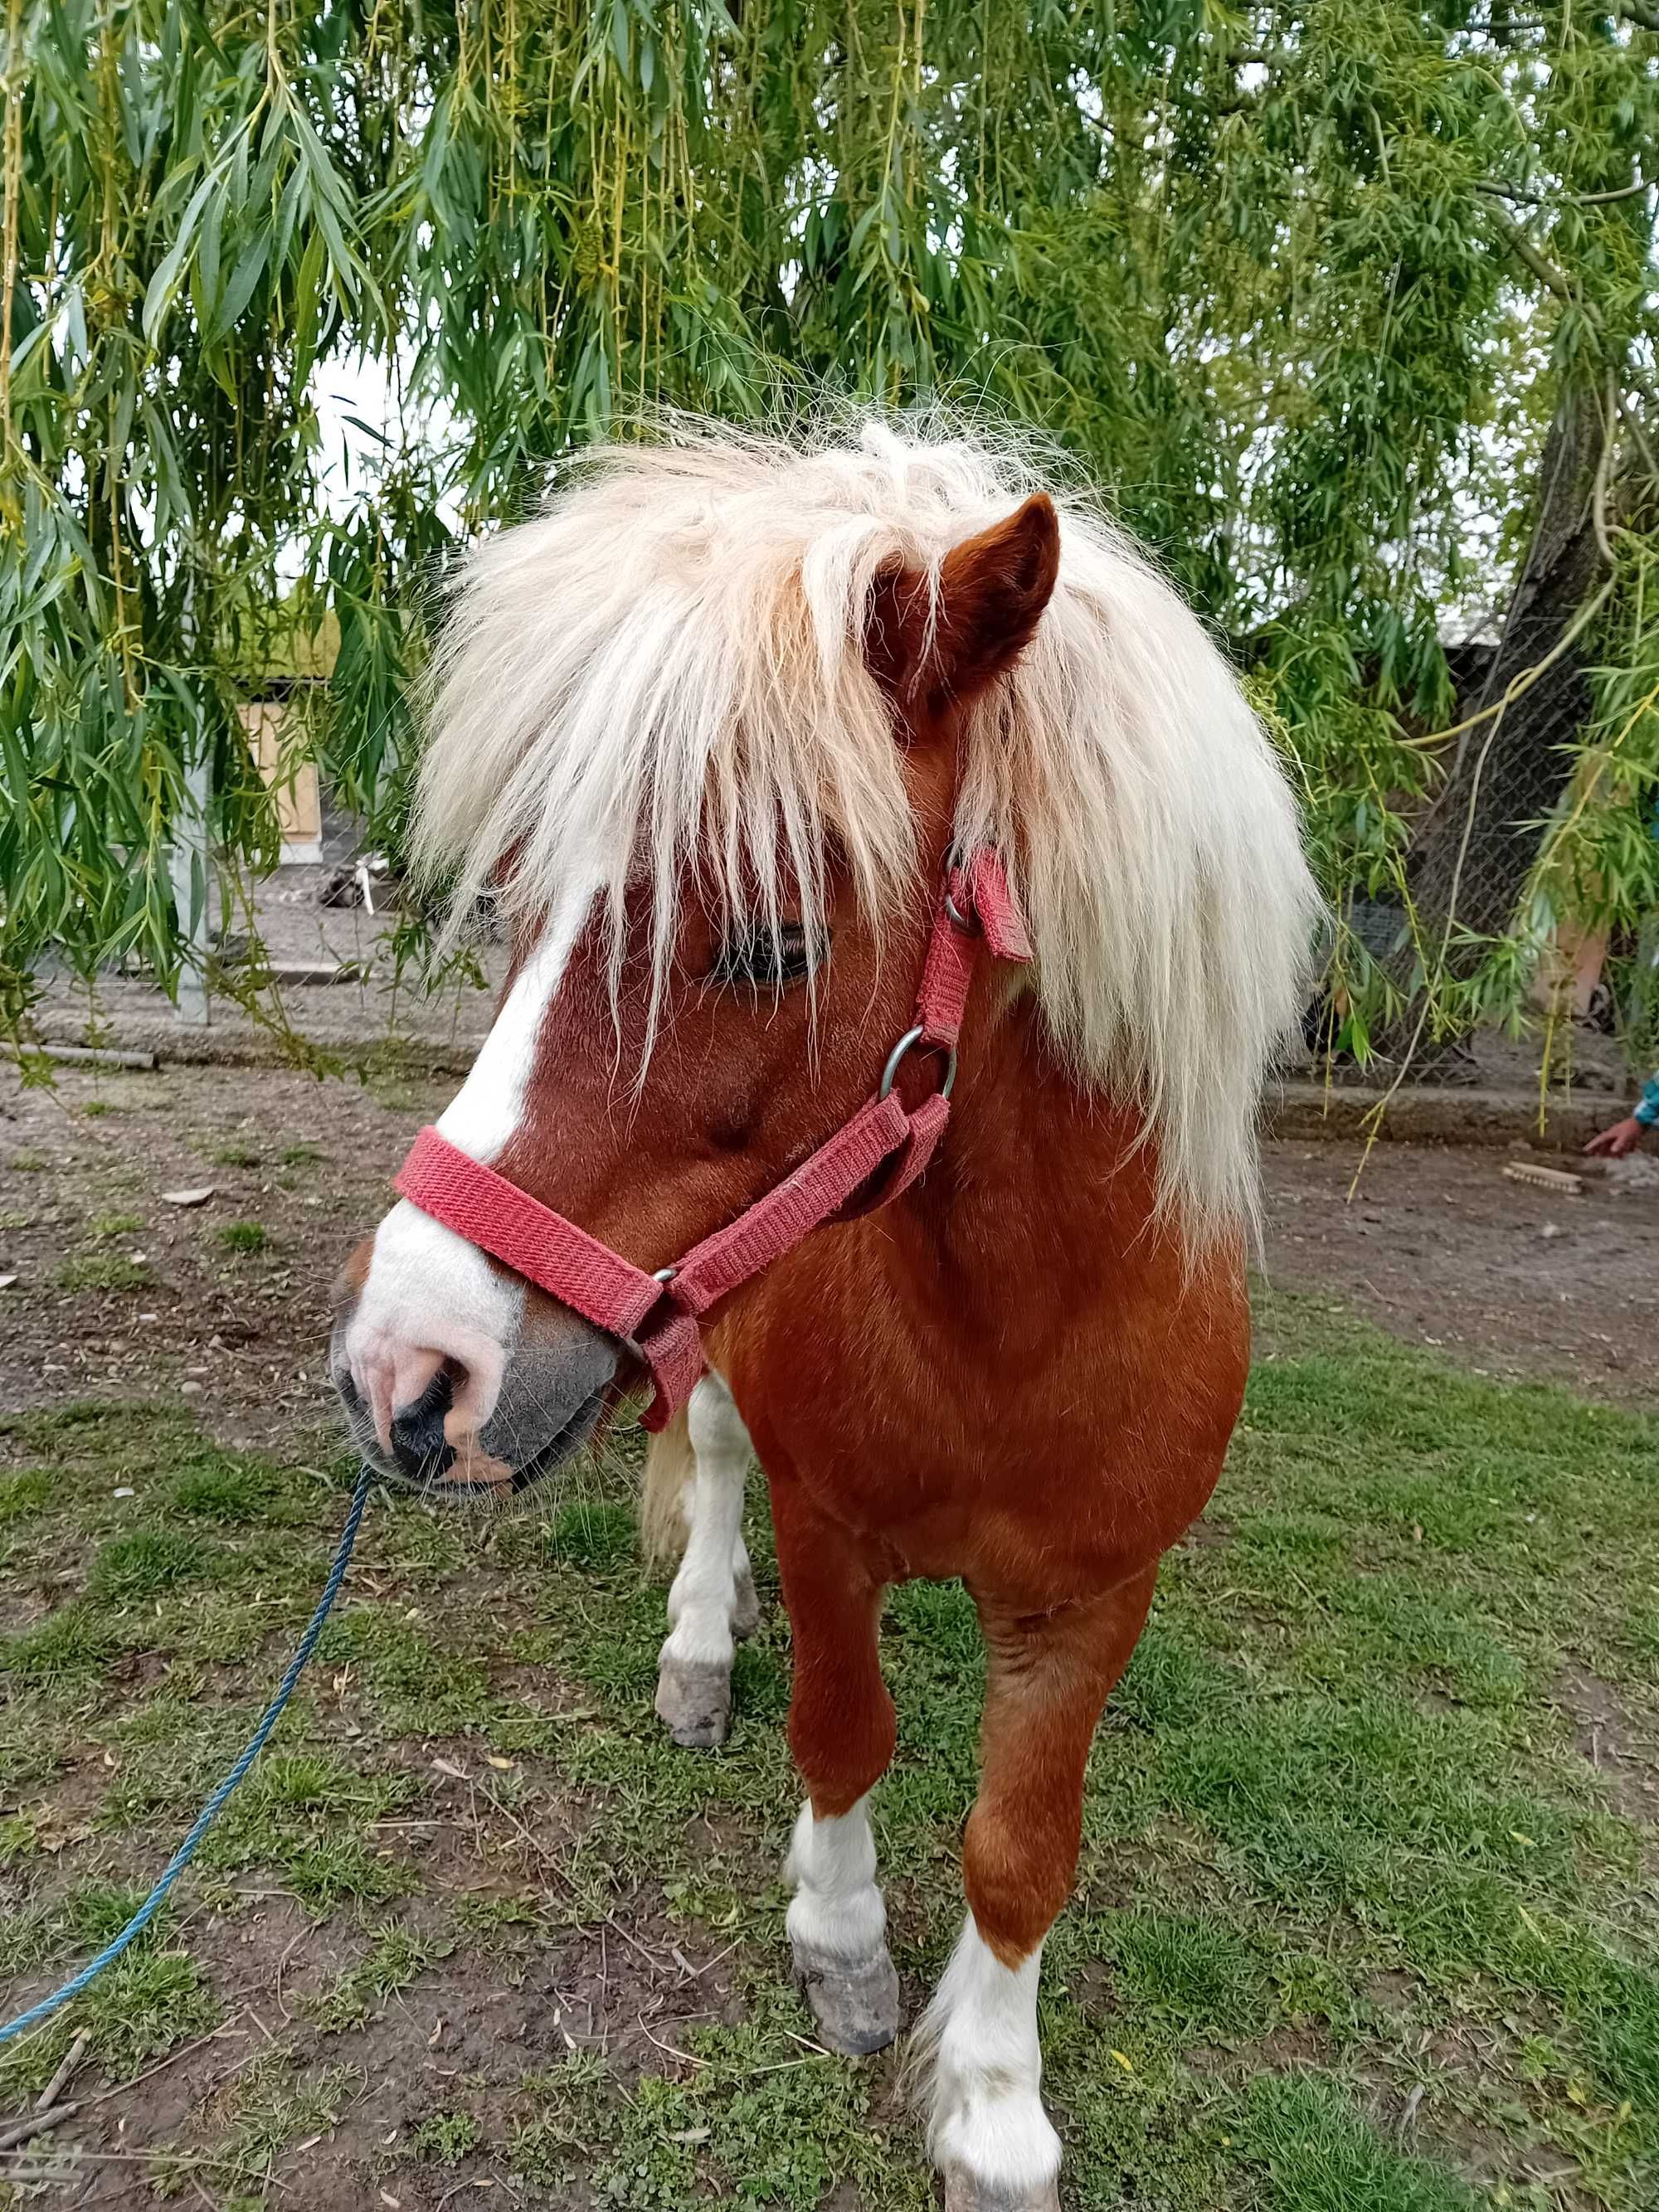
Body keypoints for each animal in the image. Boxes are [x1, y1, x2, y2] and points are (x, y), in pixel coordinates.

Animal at [333, 418, 1327, 2212]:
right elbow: (842, 1729)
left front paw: (994, 2098)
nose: (404, 1374)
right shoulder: (826, 1525)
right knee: (717, 1467)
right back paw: (699, 1652)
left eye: (774, 941)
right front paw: (842, 1938)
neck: (1016, 1328)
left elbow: (1022, 1843)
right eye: (517, 907)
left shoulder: (1096, 1597)